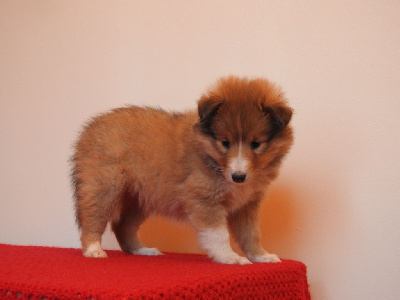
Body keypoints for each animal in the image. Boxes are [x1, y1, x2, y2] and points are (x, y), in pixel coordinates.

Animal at [70, 76, 292, 264]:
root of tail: (89, 129)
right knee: (92, 218)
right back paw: (93, 250)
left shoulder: (247, 206)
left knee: (122, 226)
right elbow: (219, 234)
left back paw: (143, 251)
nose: (238, 177)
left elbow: (251, 234)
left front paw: (261, 256)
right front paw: (230, 257)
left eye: (256, 144)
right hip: (104, 187)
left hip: (139, 198)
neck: (212, 158)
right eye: (225, 142)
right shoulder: (203, 198)